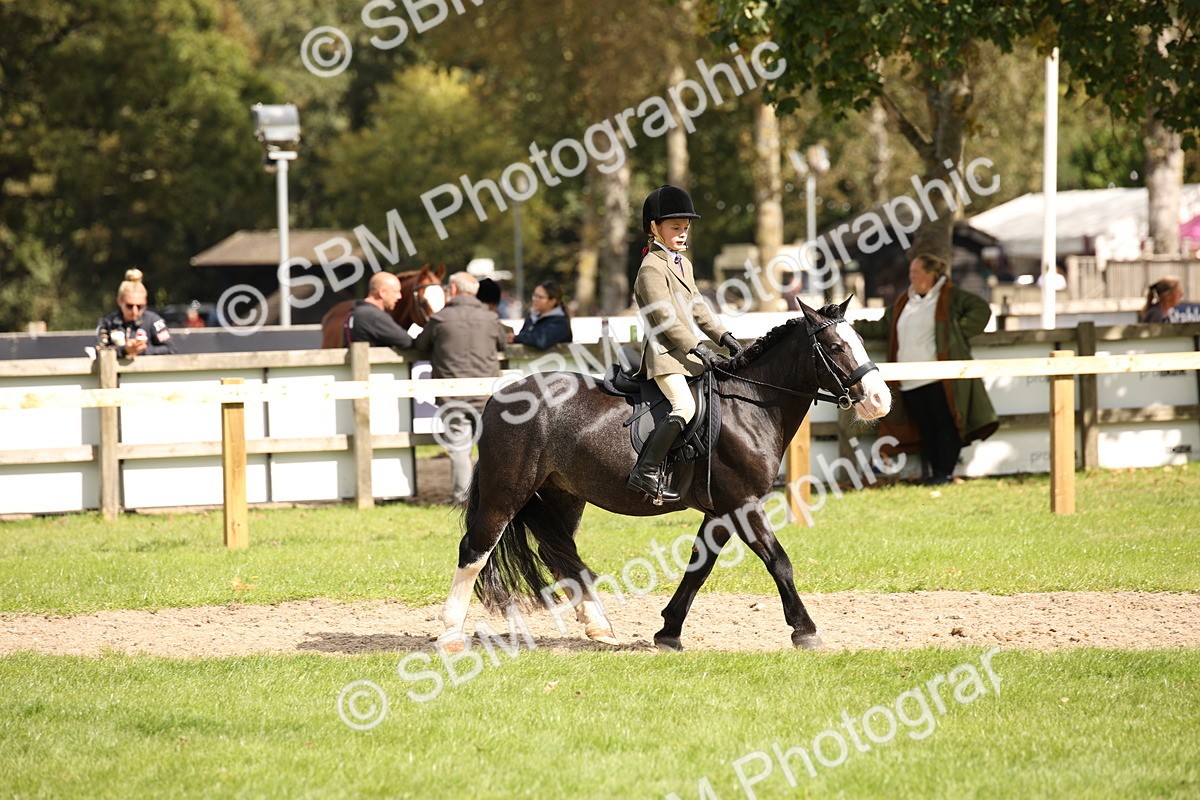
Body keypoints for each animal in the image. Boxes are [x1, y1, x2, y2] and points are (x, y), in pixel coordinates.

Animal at [439, 298, 891, 652]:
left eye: (859, 342)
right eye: (835, 346)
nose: (879, 400)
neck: (749, 404)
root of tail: (500, 396)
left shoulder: (721, 511)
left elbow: (699, 567)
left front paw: (669, 632)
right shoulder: (743, 504)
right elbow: (778, 561)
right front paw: (806, 631)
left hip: (562, 496)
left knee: (559, 553)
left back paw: (599, 628)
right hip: (505, 492)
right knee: (474, 551)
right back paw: (450, 635)